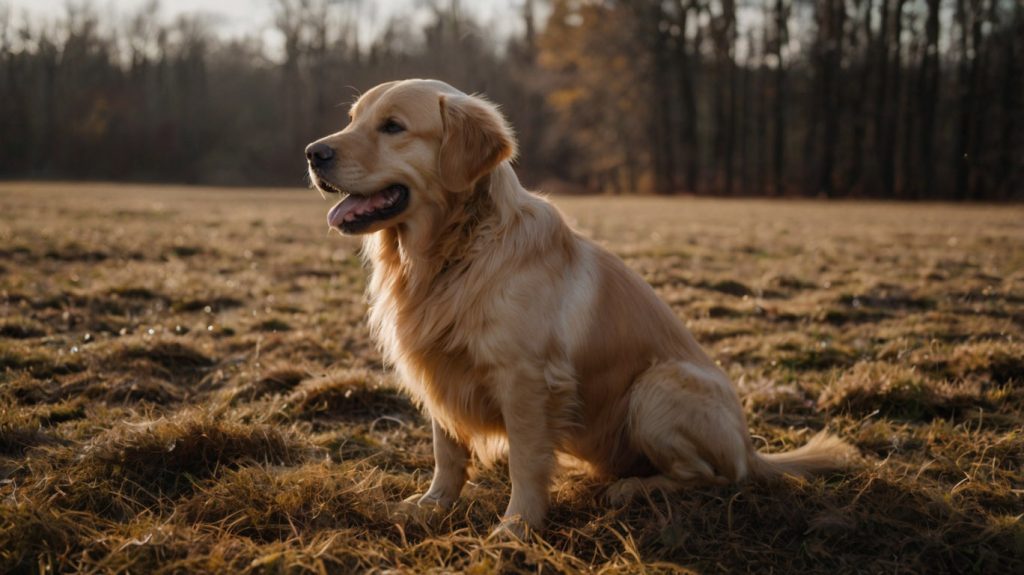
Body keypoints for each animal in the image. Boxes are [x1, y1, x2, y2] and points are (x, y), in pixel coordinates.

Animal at [305, 78, 856, 532]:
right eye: (353, 118)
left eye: (393, 126)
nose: (312, 152)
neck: (451, 255)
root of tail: (750, 447)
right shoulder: (439, 366)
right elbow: (448, 452)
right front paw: (431, 505)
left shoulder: (527, 379)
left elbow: (526, 462)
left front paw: (516, 528)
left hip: (656, 387)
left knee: (711, 475)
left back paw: (633, 488)